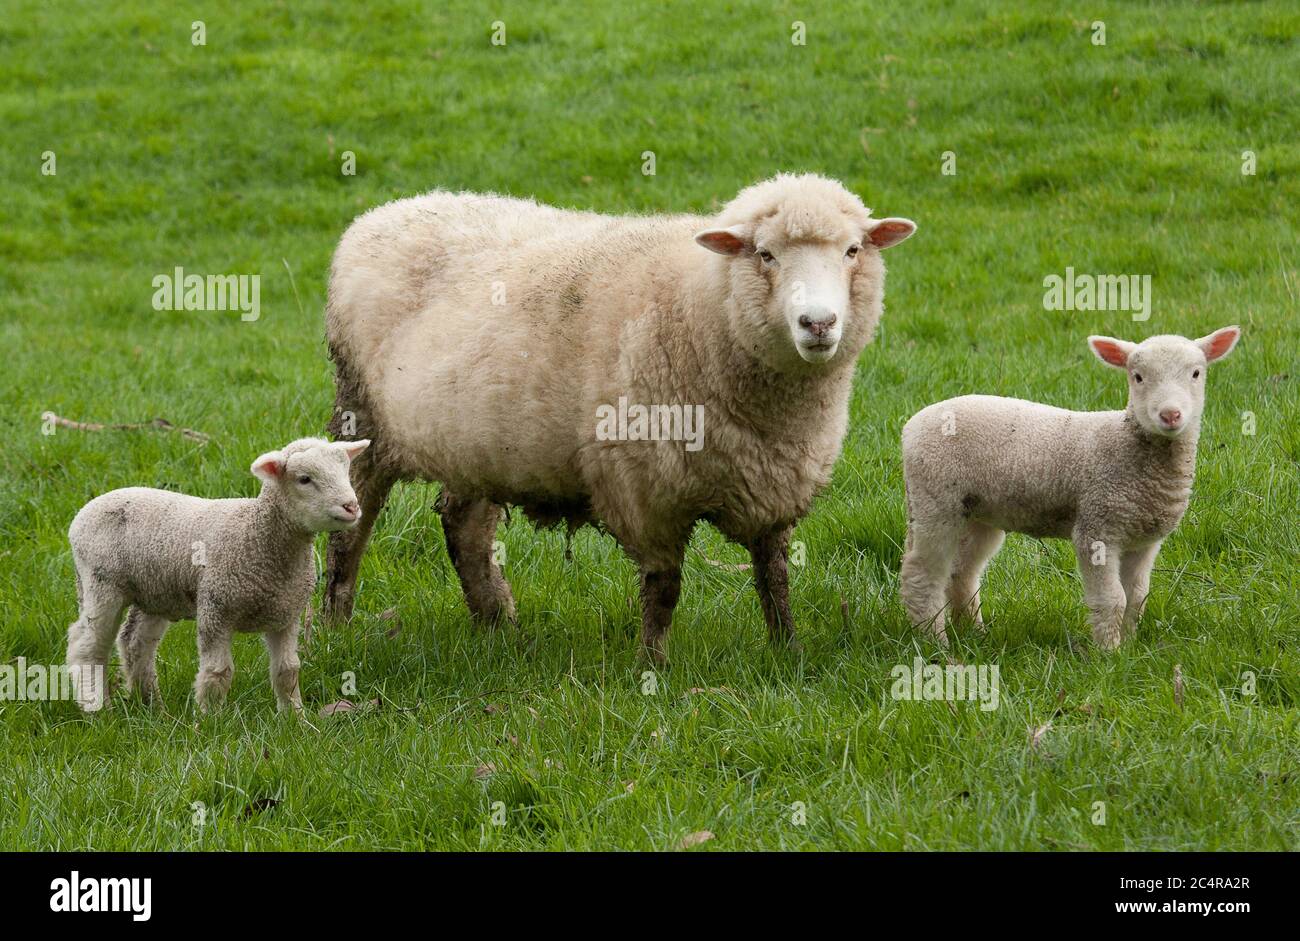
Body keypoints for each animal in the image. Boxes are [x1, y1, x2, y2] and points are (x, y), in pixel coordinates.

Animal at [65, 437, 370, 711]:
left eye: (345, 471)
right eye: (304, 479)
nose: (352, 506)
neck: (255, 533)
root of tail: (85, 510)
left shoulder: (286, 616)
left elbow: (287, 671)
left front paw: (295, 718)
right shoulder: (216, 608)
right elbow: (218, 672)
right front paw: (210, 720)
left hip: (155, 590)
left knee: (135, 643)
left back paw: (153, 706)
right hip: (101, 582)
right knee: (87, 644)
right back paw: (97, 707)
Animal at [321, 174, 917, 662]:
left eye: (853, 249)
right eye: (765, 255)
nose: (818, 323)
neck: (701, 309)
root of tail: (384, 212)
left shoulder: (774, 481)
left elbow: (775, 576)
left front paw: (787, 650)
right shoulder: (645, 489)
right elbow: (664, 586)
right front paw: (652, 666)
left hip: (475, 444)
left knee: (463, 526)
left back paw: (497, 625)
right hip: (362, 413)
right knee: (351, 529)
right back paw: (335, 624)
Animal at [899, 326, 1241, 649]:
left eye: (1196, 373)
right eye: (1138, 377)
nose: (1170, 415)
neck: (1129, 447)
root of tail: (911, 425)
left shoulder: (1144, 540)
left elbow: (1137, 597)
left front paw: (1130, 647)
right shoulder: (1097, 529)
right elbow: (1112, 599)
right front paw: (1109, 653)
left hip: (978, 512)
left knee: (962, 572)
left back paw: (975, 633)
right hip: (935, 499)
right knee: (922, 575)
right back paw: (935, 642)